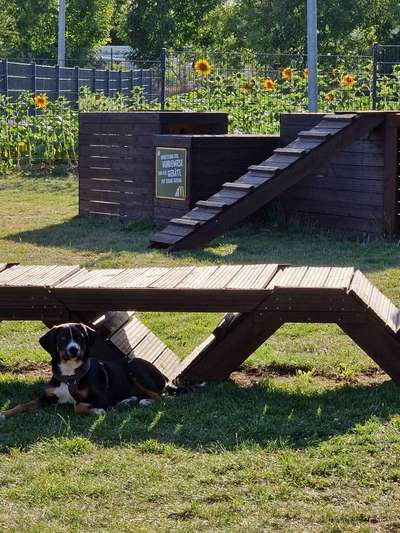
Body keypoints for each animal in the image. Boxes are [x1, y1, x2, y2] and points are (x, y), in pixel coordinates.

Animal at [0, 320, 167, 420]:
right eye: (62, 338)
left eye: (80, 337)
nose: (74, 349)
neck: (70, 376)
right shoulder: (48, 397)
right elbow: (24, 404)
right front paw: (5, 413)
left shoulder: (101, 399)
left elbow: (78, 406)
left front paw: (96, 411)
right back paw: (128, 400)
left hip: (135, 367)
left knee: (160, 396)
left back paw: (145, 401)